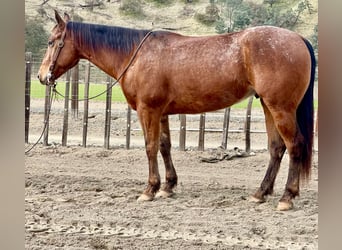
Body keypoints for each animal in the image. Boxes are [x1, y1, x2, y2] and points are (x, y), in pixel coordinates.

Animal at [37, 11, 316, 211]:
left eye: (51, 42)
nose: (42, 77)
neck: (135, 54)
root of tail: (298, 38)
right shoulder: (161, 113)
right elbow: (164, 146)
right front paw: (168, 187)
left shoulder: (147, 110)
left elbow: (150, 147)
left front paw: (150, 189)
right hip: (268, 106)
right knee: (276, 148)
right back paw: (260, 193)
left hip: (281, 108)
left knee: (294, 146)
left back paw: (286, 197)